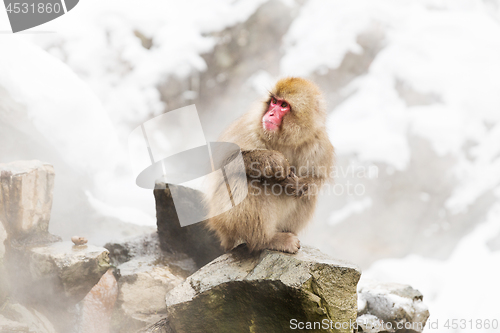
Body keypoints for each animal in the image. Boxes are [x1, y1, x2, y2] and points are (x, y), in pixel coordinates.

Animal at [205, 78, 334, 253]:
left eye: (283, 105)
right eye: (274, 101)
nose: (270, 113)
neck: (285, 139)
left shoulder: (319, 143)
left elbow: (315, 179)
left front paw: (298, 184)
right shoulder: (249, 126)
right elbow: (225, 162)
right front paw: (274, 160)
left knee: (309, 196)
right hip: (222, 221)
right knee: (246, 180)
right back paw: (266, 240)